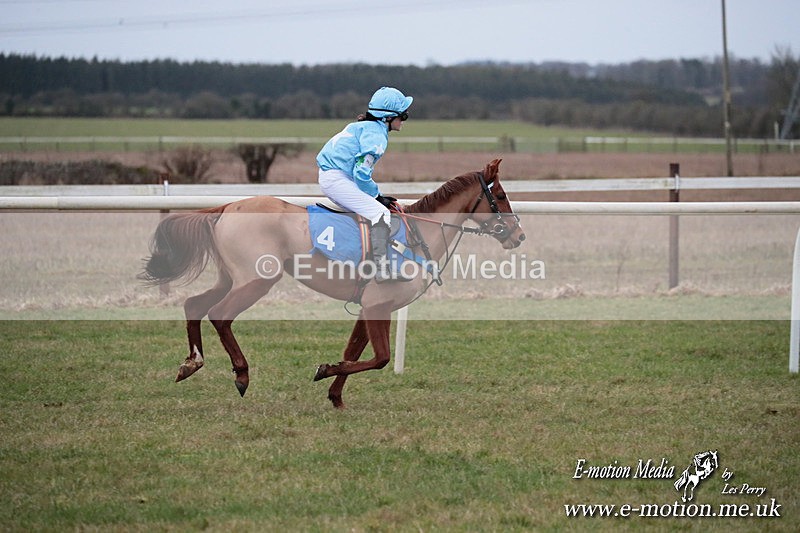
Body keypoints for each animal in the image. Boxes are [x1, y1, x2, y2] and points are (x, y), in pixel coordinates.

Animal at [140, 158, 525, 408]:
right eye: (500, 196)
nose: (518, 235)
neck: (418, 235)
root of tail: (225, 208)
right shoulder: (377, 305)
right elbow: (380, 358)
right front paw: (325, 371)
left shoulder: (369, 307)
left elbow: (354, 351)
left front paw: (335, 396)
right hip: (256, 280)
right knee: (220, 315)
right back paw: (241, 373)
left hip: (229, 277)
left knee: (194, 304)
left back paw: (191, 363)